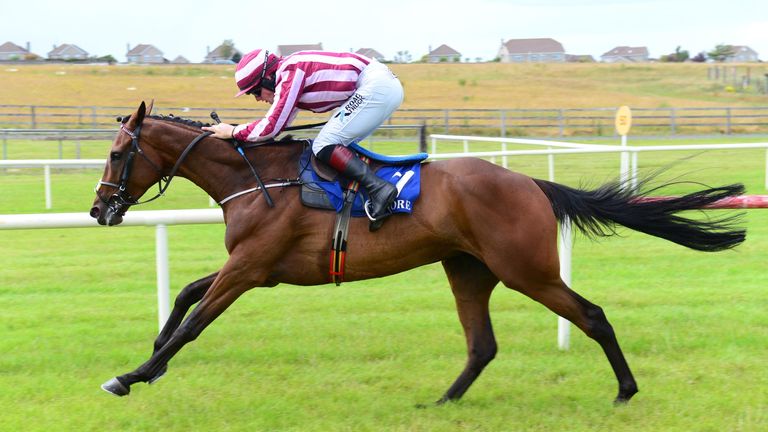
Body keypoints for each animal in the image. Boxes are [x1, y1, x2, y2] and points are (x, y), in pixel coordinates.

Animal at [90, 101, 744, 404]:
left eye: (119, 154)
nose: (100, 210)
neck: (259, 177)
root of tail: (532, 183)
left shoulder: (249, 269)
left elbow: (195, 321)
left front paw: (133, 374)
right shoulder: (257, 268)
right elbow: (184, 295)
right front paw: (153, 358)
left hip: (526, 269)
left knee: (592, 316)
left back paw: (625, 390)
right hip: (469, 270)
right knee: (483, 345)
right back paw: (443, 401)